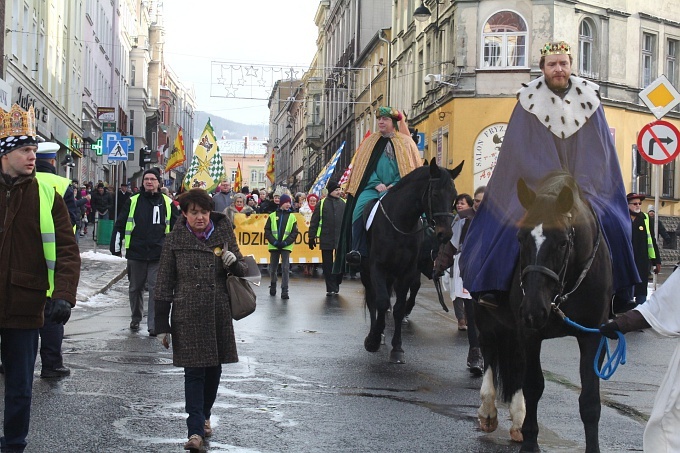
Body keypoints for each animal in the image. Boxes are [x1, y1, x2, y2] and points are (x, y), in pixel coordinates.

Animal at [472, 170, 612, 452]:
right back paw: (489, 411)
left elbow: (590, 400)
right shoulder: (530, 333)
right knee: (490, 353)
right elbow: (534, 385)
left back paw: (516, 421)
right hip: (489, 319)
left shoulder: (592, 335)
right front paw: (530, 443)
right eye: (519, 238)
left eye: (563, 242)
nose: (533, 310)